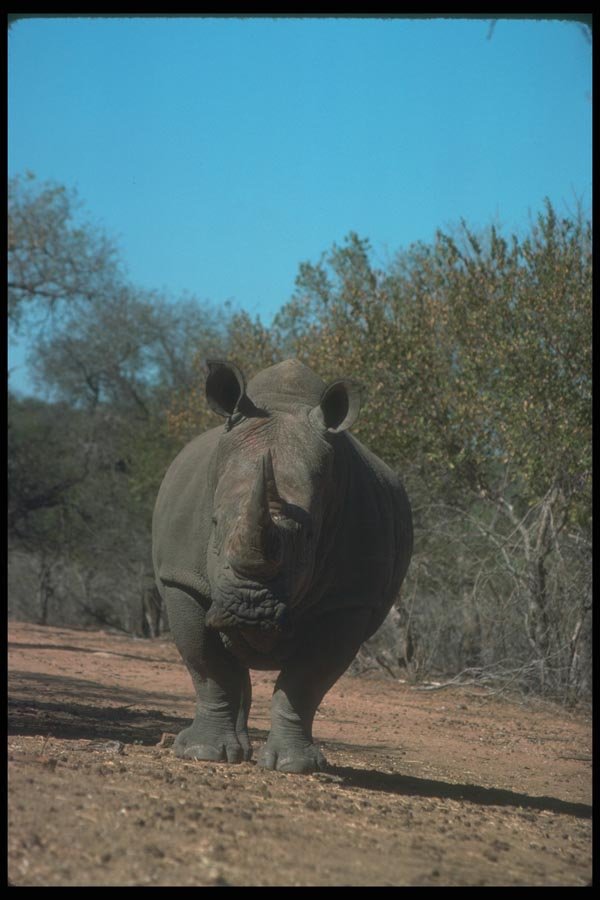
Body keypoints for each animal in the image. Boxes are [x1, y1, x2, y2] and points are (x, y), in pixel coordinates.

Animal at [152, 359, 412, 773]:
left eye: (309, 537)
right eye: (213, 523)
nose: (249, 610)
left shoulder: (348, 600)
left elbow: (306, 682)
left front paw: (295, 766)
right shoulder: (183, 578)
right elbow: (207, 667)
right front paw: (202, 754)